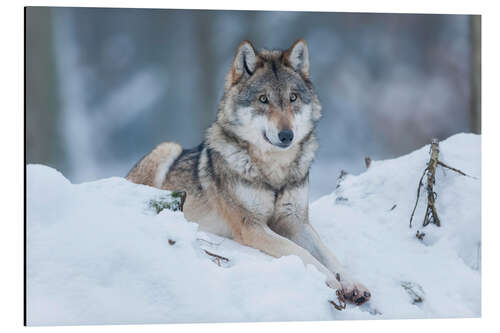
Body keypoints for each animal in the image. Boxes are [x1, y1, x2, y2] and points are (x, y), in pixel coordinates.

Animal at [128, 38, 372, 304]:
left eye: (293, 98)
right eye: (263, 99)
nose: (286, 135)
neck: (275, 173)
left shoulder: (296, 221)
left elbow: (330, 255)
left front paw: (353, 283)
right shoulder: (251, 226)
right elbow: (300, 253)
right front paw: (329, 279)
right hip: (167, 147)